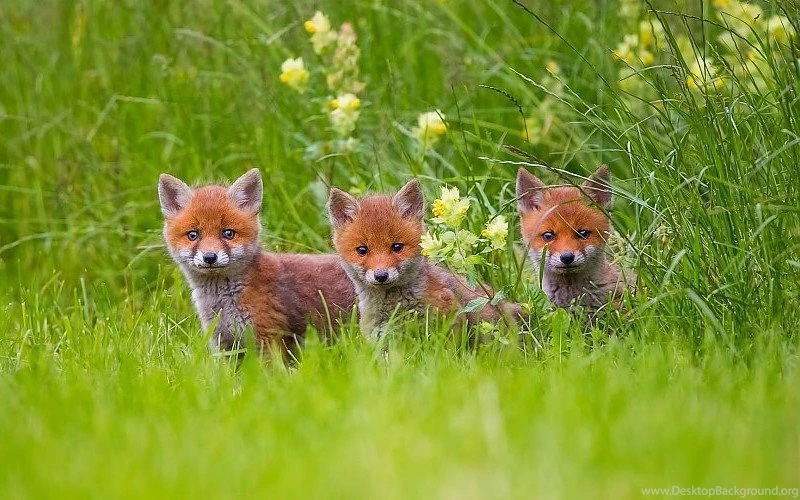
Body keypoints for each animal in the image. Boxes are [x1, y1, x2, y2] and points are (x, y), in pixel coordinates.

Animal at [158, 168, 356, 357]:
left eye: (228, 233)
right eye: (193, 235)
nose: (210, 257)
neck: (225, 302)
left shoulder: (268, 337)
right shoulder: (224, 344)